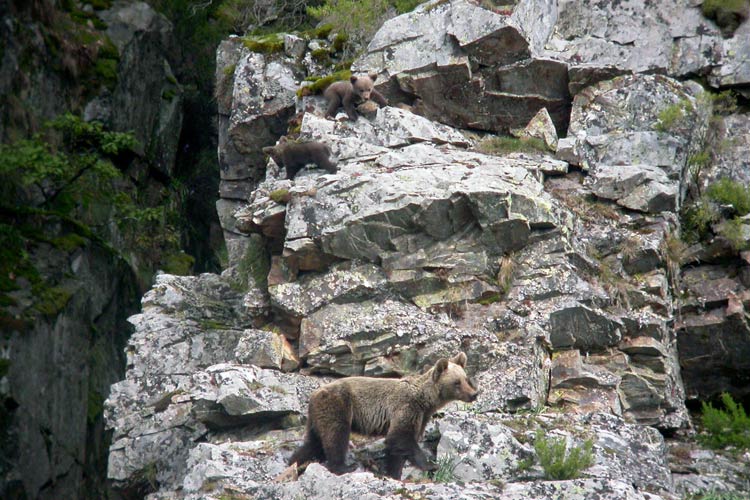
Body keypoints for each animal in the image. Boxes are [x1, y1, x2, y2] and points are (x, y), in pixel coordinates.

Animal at [288, 352, 479, 480]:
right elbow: (400, 437)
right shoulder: (406, 407)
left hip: (318, 416)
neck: (425, 400)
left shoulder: (421, 416)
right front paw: (431, 464)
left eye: (466, 378)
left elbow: (399, 447)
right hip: (338, 406)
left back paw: (294, 462)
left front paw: (394, 473)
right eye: (456, 382)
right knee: (336, 436)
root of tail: (314, 395)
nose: (474, 394)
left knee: (314, 442)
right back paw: (344, 467)